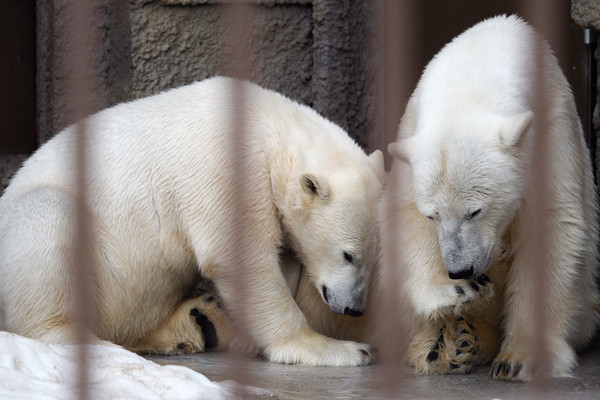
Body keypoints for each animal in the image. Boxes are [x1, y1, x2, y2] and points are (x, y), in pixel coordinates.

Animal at [0, 76, 384, 368]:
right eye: (348, 255)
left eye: (371, 257)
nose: (354, 308)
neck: (267, 126)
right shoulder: (225, 168)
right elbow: (241, 259)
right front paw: (343, 349)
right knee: (50, 216)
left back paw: (191, 326)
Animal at [384, 15, 600, 382]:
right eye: (433, 215)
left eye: (475, 211)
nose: (460, 269)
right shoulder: (411, 127)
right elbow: (404, 213)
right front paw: (457, 290)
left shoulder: (552, 125)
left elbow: (552, 222)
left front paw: (518, 359)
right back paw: (444, 344)